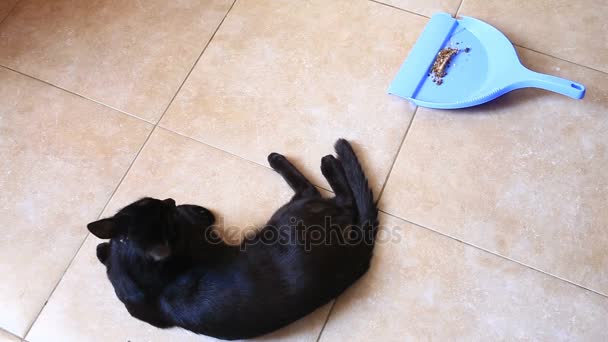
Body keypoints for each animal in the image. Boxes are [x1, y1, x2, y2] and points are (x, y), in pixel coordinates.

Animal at [87, 138, 378, 340]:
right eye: (163, 211)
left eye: (150, 200)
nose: (170, 200)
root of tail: (360, 251)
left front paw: (102, 249)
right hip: (292, 213)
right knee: (331, 196)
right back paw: (323, 160)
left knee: (333, 196)